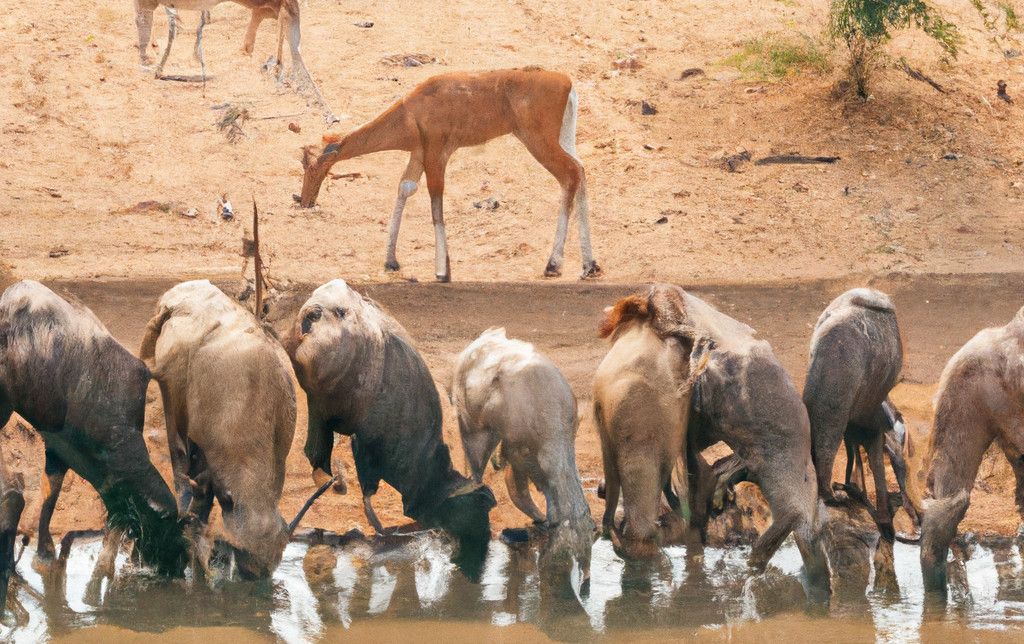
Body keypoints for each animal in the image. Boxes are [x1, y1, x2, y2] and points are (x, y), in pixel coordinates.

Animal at [296, 67, 598, 280]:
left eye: (309, 165)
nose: (305, 200)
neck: (410, 111)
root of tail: (567, 83)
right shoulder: (418, 153)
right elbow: (405, 188)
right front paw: (391, 261)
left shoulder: (436, 154)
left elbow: (435, 204)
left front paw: (442, 271)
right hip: (562, 139)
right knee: (581, 171)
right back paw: (589, 266)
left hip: (539, 142)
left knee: (570, 175)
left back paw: (554, 264)